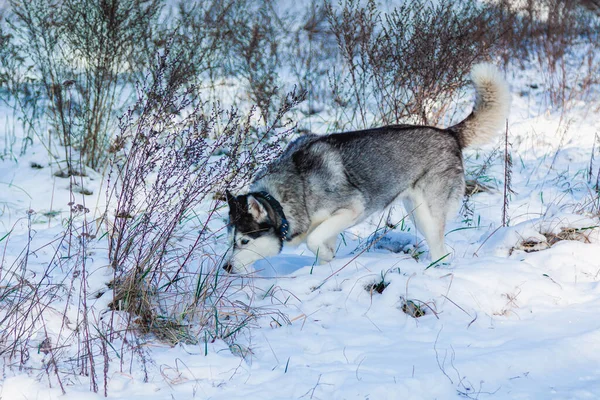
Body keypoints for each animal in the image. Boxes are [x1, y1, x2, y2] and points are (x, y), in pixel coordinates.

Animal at [223, 64, 508, 274]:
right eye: (230, 241)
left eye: (244, 241)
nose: (226, 267)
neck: (293, 192)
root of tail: (448, 133)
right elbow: (320, 245)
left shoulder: (351, 209)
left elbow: (314, 239)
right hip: (415, 211)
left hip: (428, 215)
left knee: (441, 249)